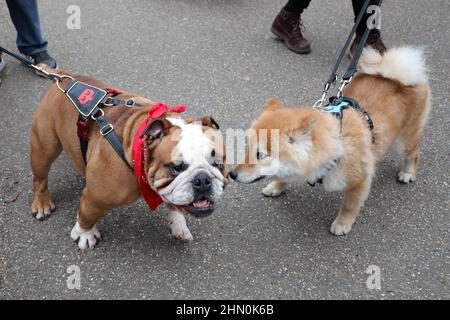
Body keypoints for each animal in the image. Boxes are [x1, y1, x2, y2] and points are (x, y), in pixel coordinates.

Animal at [230, 45, 430, 235]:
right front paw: (276, 186)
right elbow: (284, 175)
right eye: (247, 148)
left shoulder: (360, 180)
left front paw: (342, 224)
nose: (232, 174)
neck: (335, 147)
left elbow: (349, 206)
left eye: (260, 155)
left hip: (403, 141)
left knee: (413, 154)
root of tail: (397, 74)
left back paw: (407, 173)